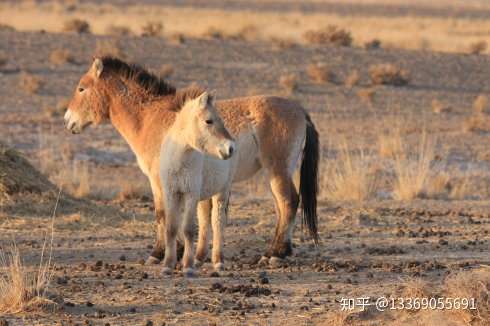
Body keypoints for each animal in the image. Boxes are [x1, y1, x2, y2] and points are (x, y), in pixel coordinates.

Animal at [63, 56, 320, 268]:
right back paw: (276, 252)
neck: (150, 118)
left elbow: (163, 214)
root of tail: (300, 110)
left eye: (81, 88)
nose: (68, 121)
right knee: (282, 207)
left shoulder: (160, 182)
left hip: (277, 171)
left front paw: (159, 254)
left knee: (288, 202)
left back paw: (275, 255)